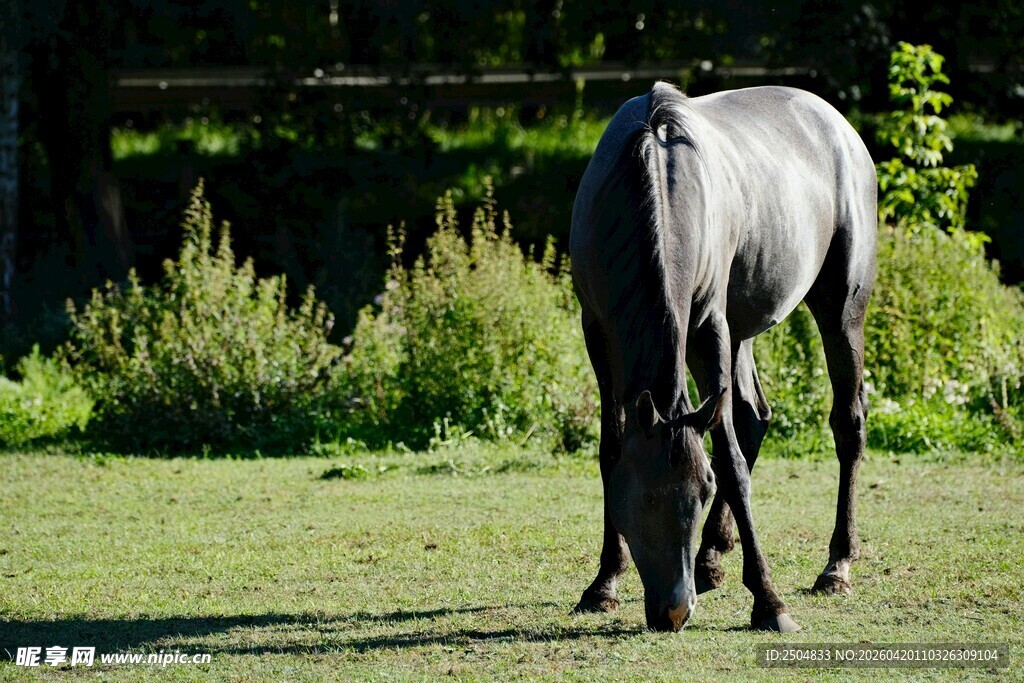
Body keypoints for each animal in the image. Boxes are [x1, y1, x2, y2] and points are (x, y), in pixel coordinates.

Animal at [569, 82, 876, 632]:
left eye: (704, 490)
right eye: (646, 497)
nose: (675, 610)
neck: (652, 169)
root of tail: (839, 125)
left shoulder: (709, 326)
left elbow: (731, 461)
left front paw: (770, 601)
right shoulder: (598, 332)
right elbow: (611, 448)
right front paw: (603, 582)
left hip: (839, 311)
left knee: (847, 423)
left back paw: (836, 564)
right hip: (741, 333)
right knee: (754, 416)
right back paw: (711, 556)